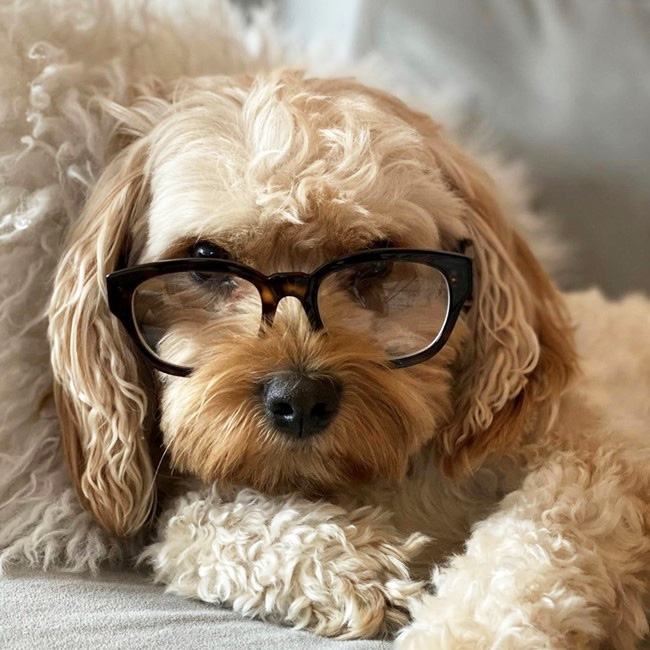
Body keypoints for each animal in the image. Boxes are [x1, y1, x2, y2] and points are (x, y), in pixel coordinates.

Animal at [46, 68, 648, 644]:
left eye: (378, 259)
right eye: (204, 259)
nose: (300, 398)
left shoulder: (595, 464)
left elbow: (534, 548)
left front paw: (462, 630)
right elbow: (194, 523)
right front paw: (349, 568)